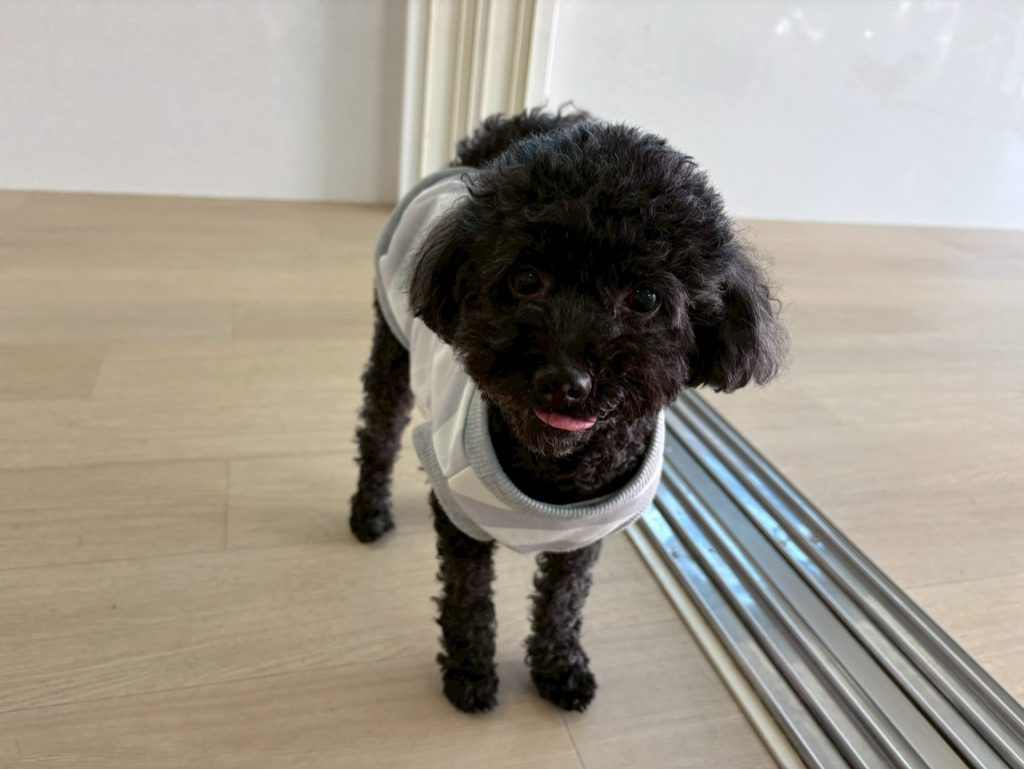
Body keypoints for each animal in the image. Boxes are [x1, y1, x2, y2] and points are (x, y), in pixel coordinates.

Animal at [349, 107, 784, 714]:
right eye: (526, 279)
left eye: (645, 298)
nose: (563, 382)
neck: (557, 471)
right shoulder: (461, 520)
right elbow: (468, 601)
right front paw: (470, 675)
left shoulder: (583, 539)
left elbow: (562, 603)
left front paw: (559, 670)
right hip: (392, 344)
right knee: (379, 432)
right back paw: (368, 512)